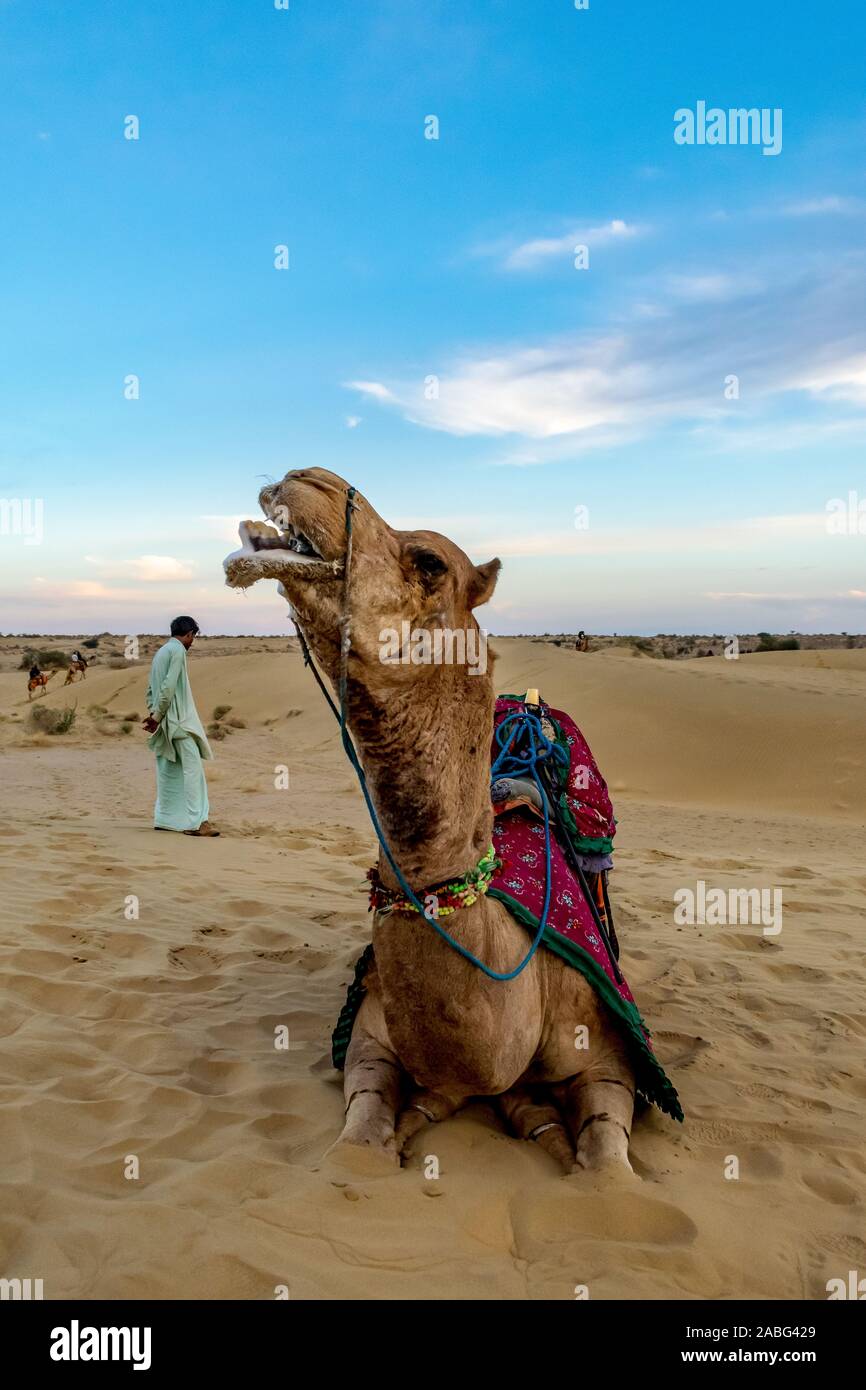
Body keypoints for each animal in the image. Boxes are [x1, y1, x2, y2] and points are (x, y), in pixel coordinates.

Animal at [224, 468, 639, 1175]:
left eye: (430, 561)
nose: (304, 480)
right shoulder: (369, 1039)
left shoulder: (611, 1056)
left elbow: (608, 1165)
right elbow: (358, 1143)